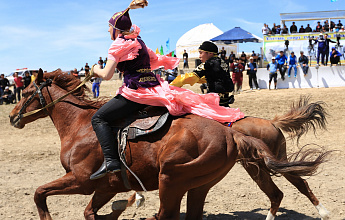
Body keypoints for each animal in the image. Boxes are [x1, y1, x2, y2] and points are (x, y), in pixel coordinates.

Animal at [9, 69, 330, 220]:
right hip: (230, 174)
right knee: (277, 192)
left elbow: (39, 193)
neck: (81, 124)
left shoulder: (82, 180)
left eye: (25, 92)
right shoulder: (105, 187)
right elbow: (90, 212)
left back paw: (322, 211)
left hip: (173, 178)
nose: (12, 117)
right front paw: (123, 206)